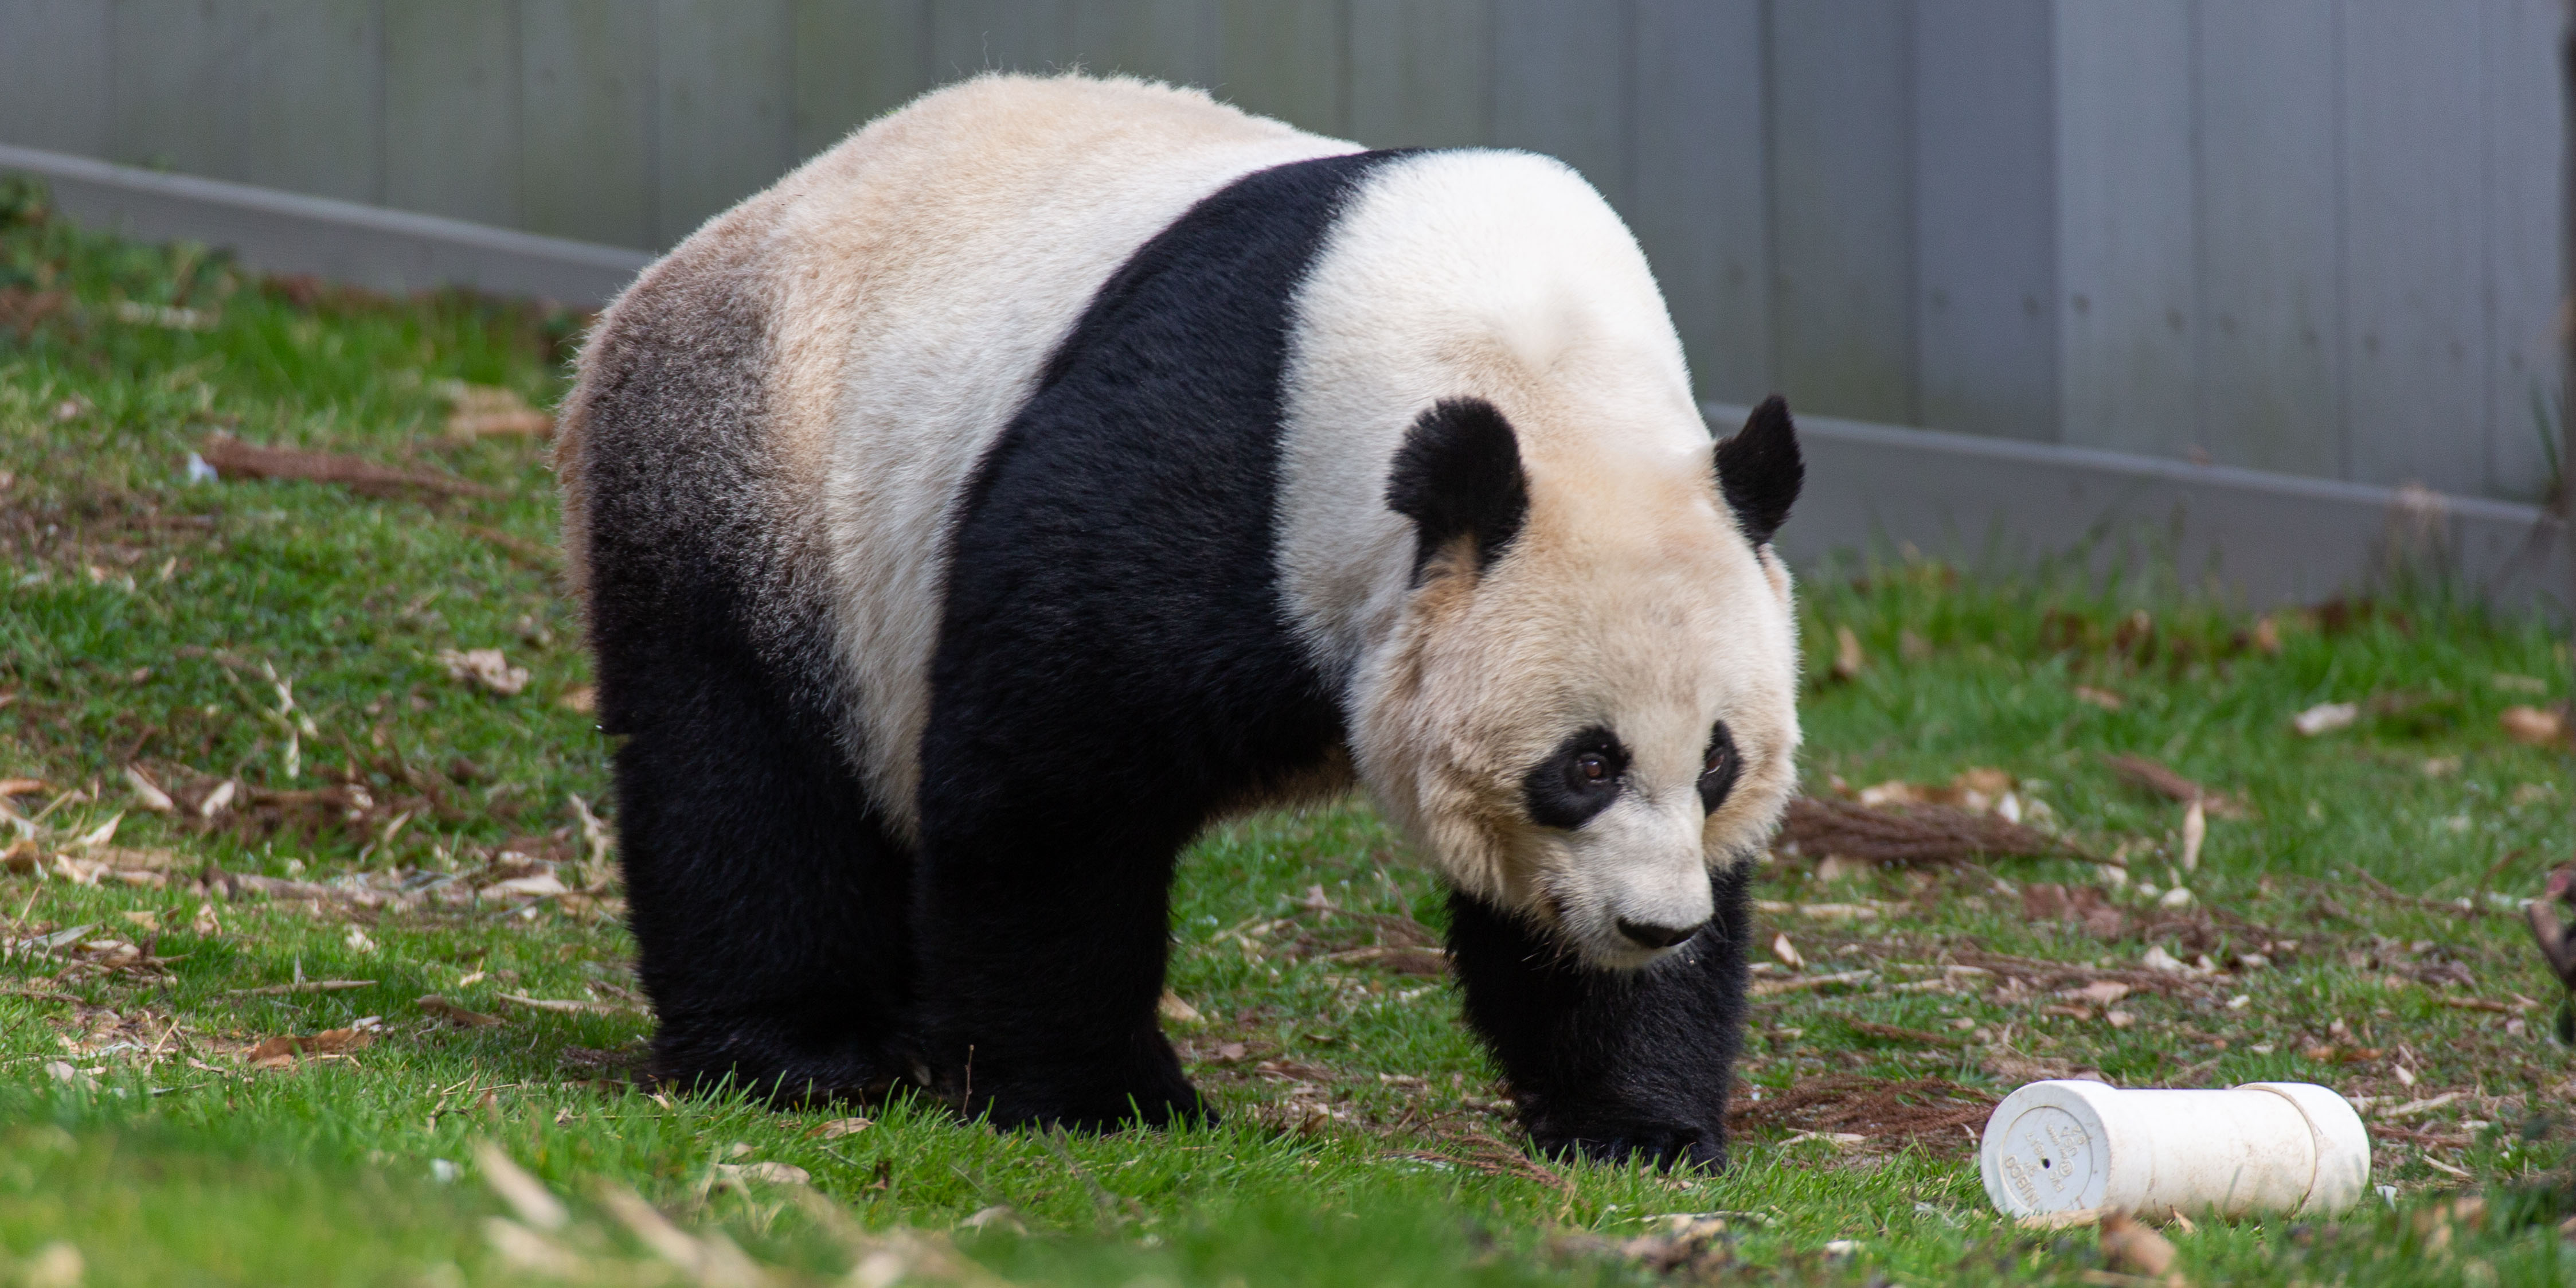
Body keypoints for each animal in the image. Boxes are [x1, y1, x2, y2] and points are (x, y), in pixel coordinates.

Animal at [558, 75, 1813, 1174]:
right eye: (1584, 764)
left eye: (1716, 762)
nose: (1651, 926)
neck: (1537, 370)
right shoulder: (1224, 473)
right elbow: (1049, 784)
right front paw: (1101, 1098)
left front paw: (1637, 1119)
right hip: (762, 476)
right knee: (744, 772)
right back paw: (804, 1050)